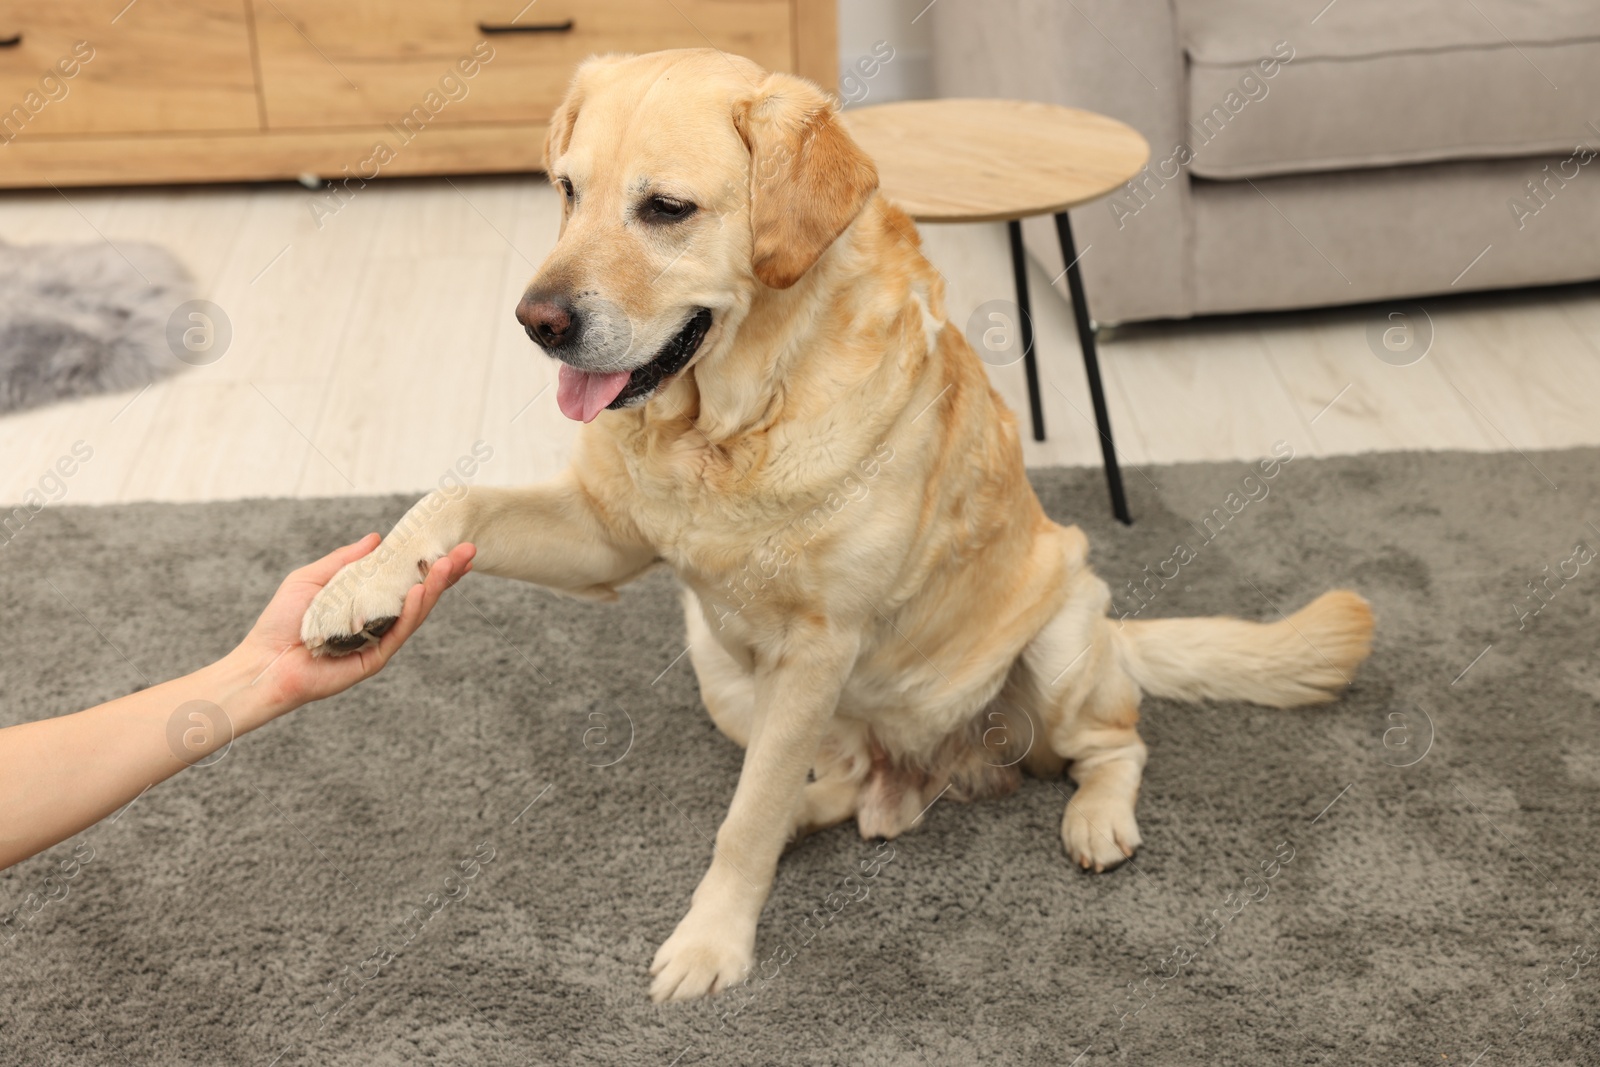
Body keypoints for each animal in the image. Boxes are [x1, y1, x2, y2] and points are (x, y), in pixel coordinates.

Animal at [300, 47, 1376, 1004]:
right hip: (724, 672)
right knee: (831, 782)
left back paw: (1096, 819)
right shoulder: (607, 538)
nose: (537, 322)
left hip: (1063, 629)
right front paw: (363, 587)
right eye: (566, 189)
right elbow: (451, 499)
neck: (728, 423)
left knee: (1115, 742)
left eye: (666, 209)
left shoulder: (820, 644)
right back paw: (837, 805)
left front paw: (713, 942)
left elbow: (743, 822)